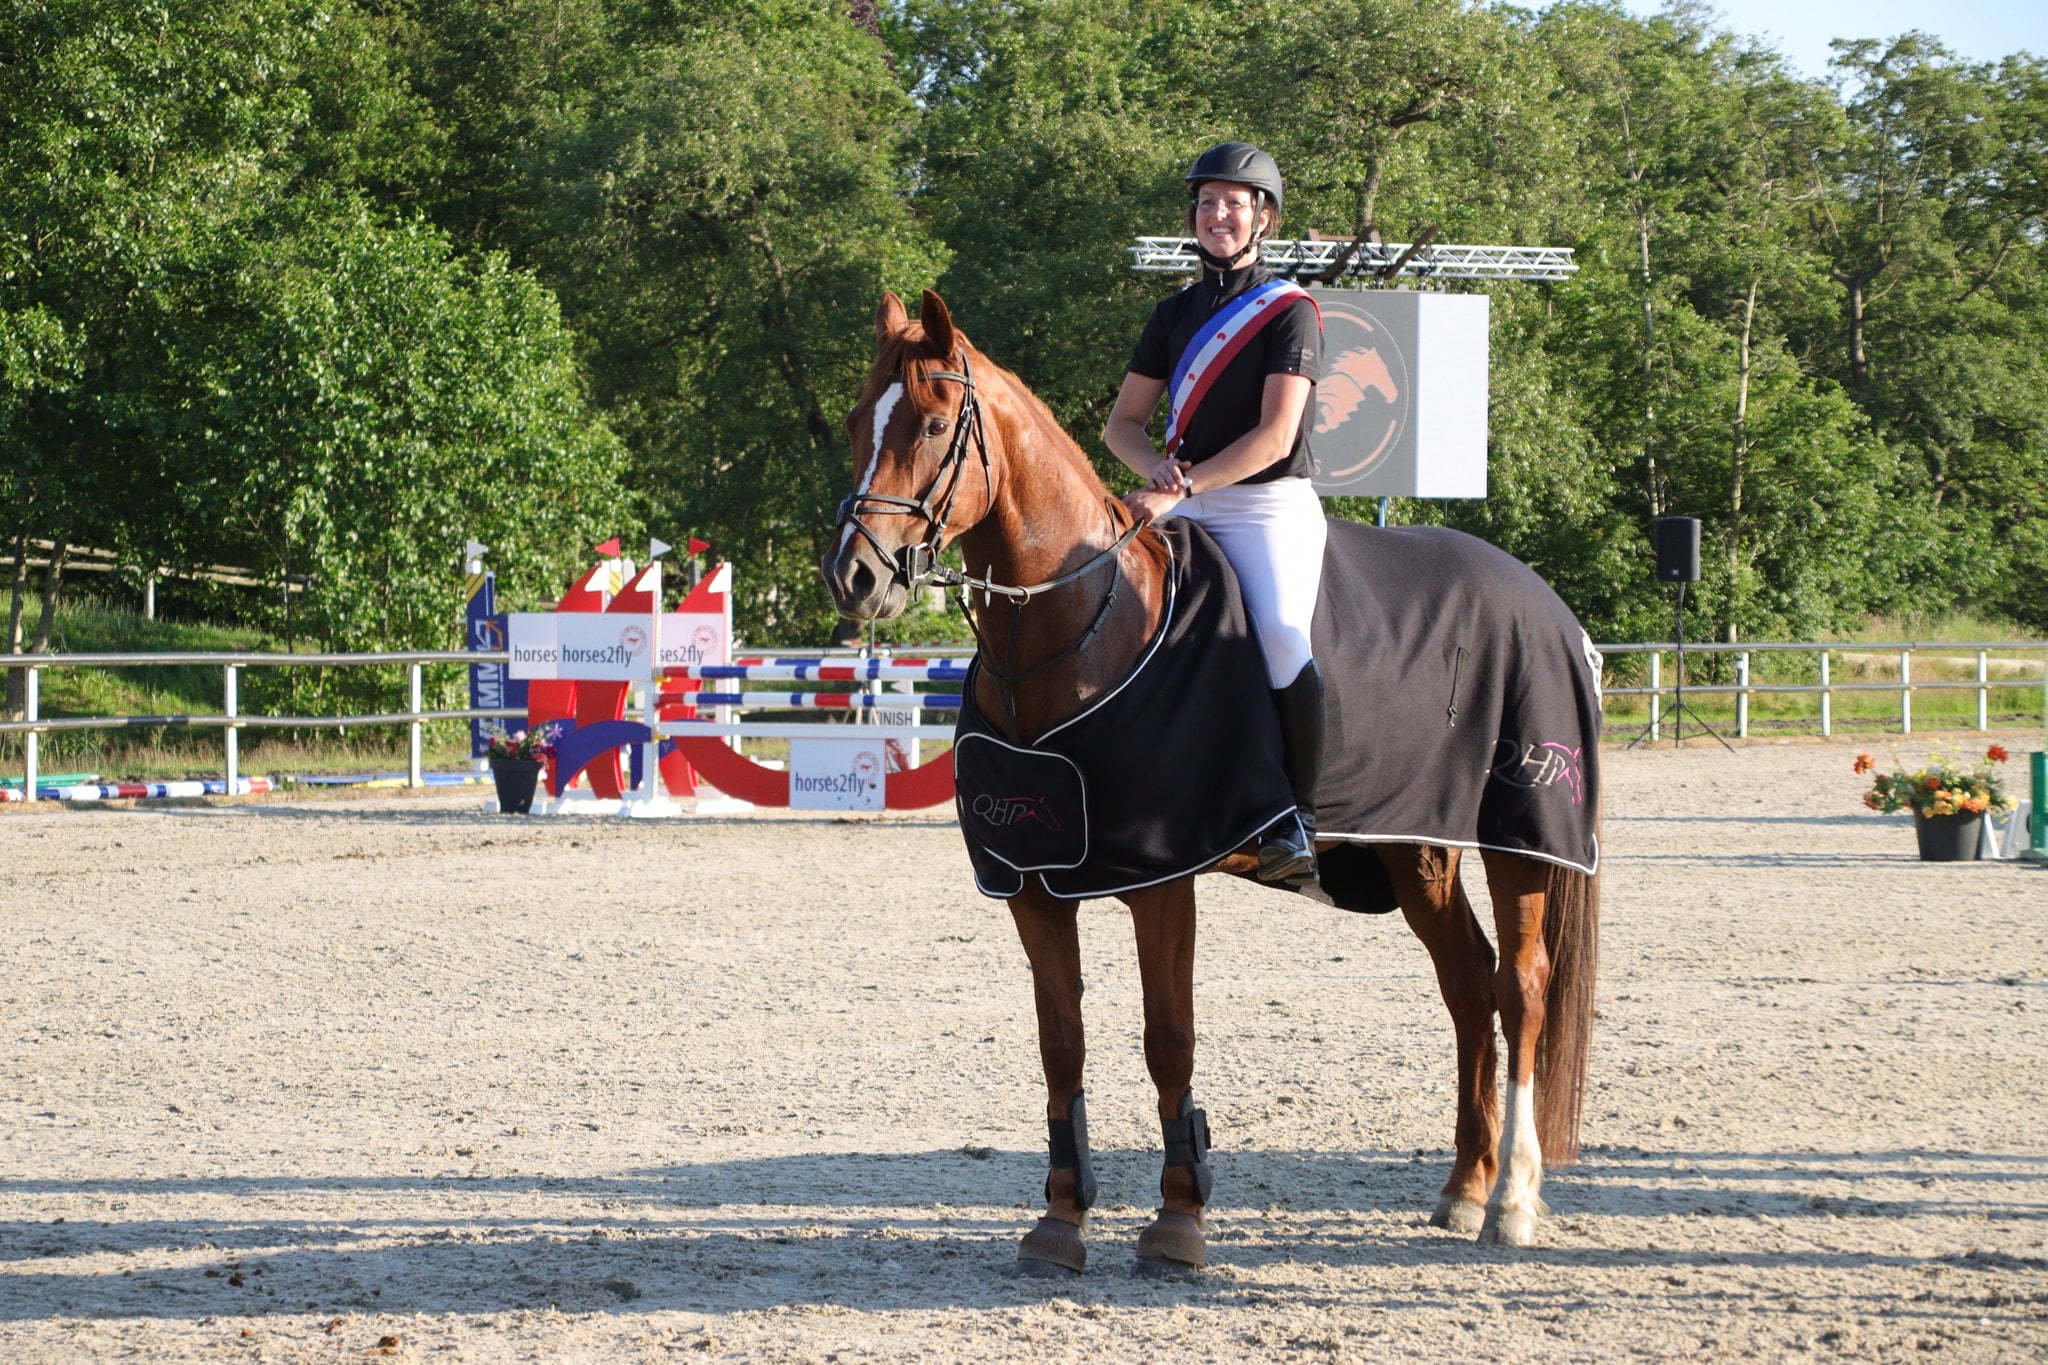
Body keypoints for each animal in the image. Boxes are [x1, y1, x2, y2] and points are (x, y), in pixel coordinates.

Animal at [819, 290, 1597, 1285]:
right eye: (855, 423)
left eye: (927, 422)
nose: (855, 576)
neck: (1082, 625)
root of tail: (1542, 597)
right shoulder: (1033, 886)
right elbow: (1061, 1044)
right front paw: (1060, 1220)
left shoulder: (1162, 881)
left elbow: (1168, 1037)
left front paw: (1178, 1219)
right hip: (1415, 848)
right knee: (1468, 983)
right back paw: (1465, 1185)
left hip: (1520, 840)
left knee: (1523, 987)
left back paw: (1512, 1201)